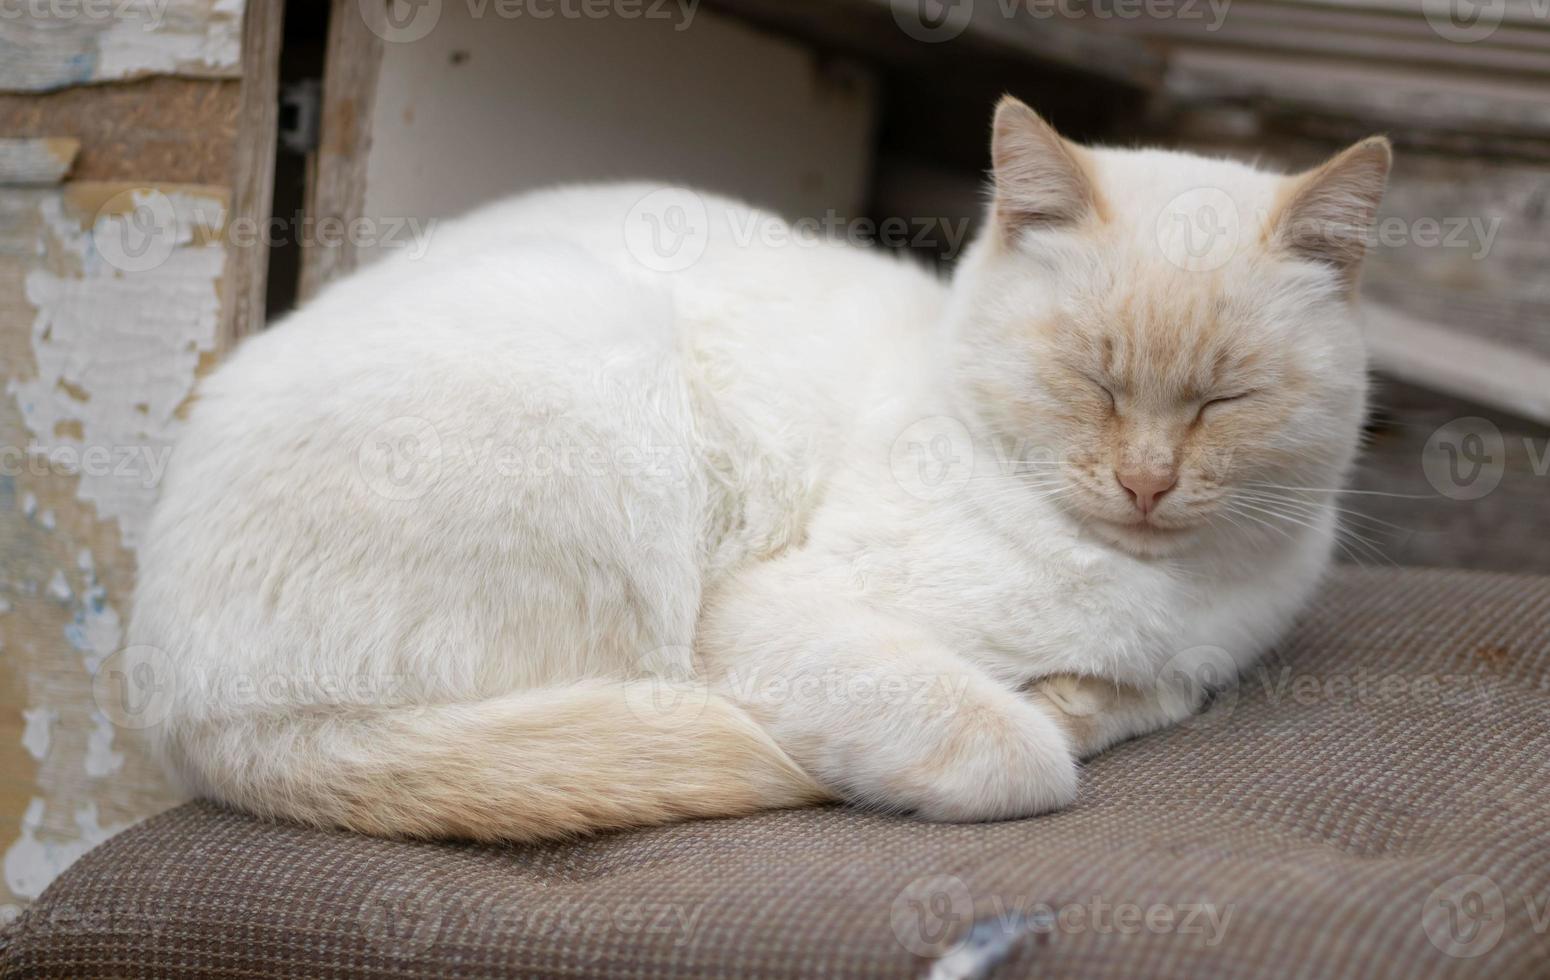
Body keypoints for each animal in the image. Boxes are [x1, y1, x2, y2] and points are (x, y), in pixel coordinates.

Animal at [130, 101, 1395, 843]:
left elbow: (1137, 697)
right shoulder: (769, 612)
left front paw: (1081, 692)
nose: (1144, 481)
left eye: (1226, 399)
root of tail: (185, 709)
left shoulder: (1191, 665)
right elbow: (1022, 751)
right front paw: (1034, 716)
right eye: (1090, 377)